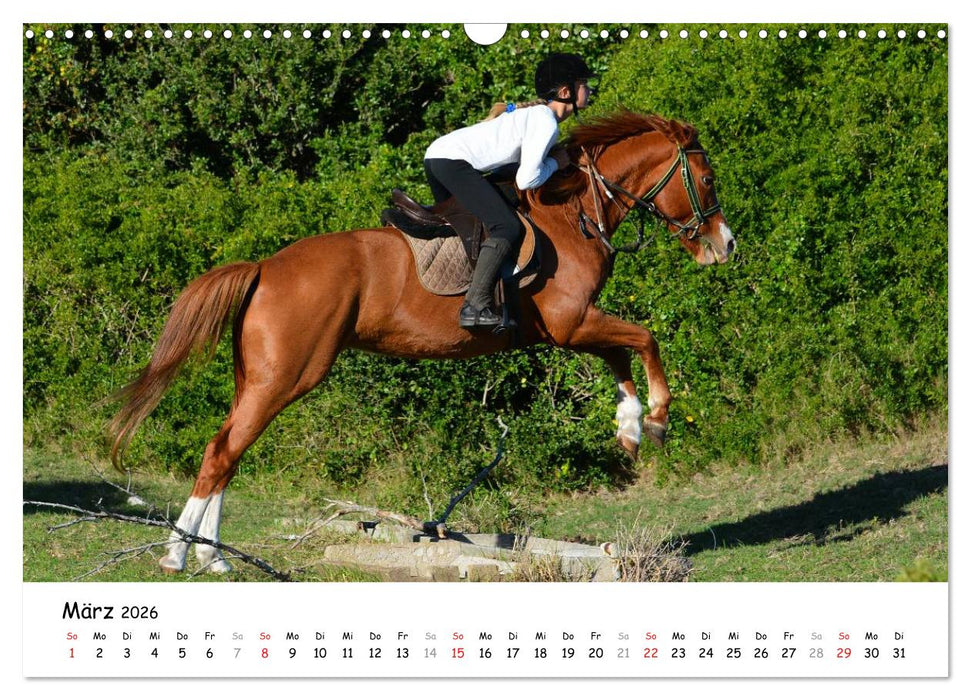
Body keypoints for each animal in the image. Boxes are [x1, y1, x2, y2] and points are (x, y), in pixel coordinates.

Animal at [109, 109, 736, 574]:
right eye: (706, 180)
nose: (725, 246)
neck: (576, 211)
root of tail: (265, 267)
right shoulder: (571, 321)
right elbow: (645, 338)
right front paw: (656, 418)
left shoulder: (572, 327)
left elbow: (621, 354)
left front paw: (630, 428)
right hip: (287, 376)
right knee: (223, 453)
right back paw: (177, 556)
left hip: (258, 377)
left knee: (228, 452)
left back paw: (210, 557)